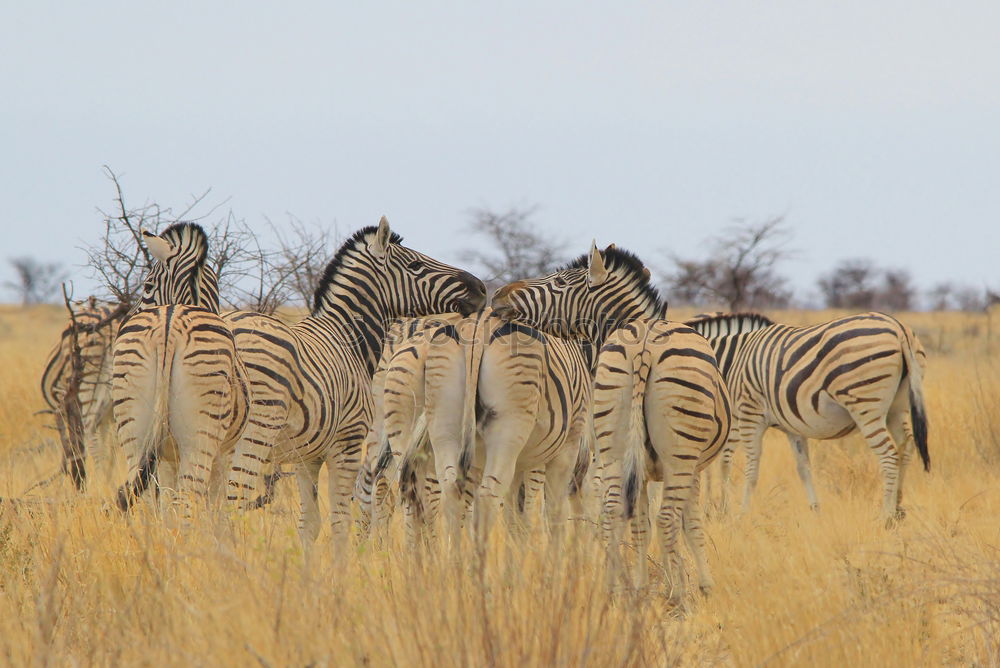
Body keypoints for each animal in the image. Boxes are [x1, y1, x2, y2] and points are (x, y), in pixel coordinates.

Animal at [41, 296, 129, 486]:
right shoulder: (107, 416)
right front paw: (109, 477)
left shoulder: (62, 407)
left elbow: (69, 447)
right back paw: (106, 479)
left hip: (88, 386)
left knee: (88, 432)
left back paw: (98, 479)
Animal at [110, 220, 248, 520]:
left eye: (147, 285)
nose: (122, 323)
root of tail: (168, 327)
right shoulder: (225, 453)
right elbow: (216, 508)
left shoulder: (165, 458)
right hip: (199, 439)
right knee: (187, 501)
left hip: (133, 430)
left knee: (140, 499)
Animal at [221, 219, 486, 548]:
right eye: (415, 265)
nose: (481, 288)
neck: (347, 338)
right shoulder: (347, 442)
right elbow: (340, 519)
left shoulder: (308, 455)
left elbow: (310, 523)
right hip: (256, 431)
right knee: (232, 502)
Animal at [494, 244, 736, 600]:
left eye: (559, 282)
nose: (498, 295)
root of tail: (643, 347)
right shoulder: (692, 465)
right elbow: (688, 522)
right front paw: (697, 585)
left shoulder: (642, 466)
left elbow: (641, 522)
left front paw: (642, 584)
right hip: (677, 454)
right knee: (666, 519)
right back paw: (678, 597)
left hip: (613, 445)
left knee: (613, 513)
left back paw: (612, 589)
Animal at [688, 310, 928, 524]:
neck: (732, 360)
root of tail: (898, 328)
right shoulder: (791, 426)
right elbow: (803, 468)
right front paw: (815, 510)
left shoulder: (749, 412)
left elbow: (745, 466)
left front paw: (738, 514)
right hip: (897, 407)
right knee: (906, 447)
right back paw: (898, 508)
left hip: (866, 406)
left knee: (889, 455)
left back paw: (885, 517)